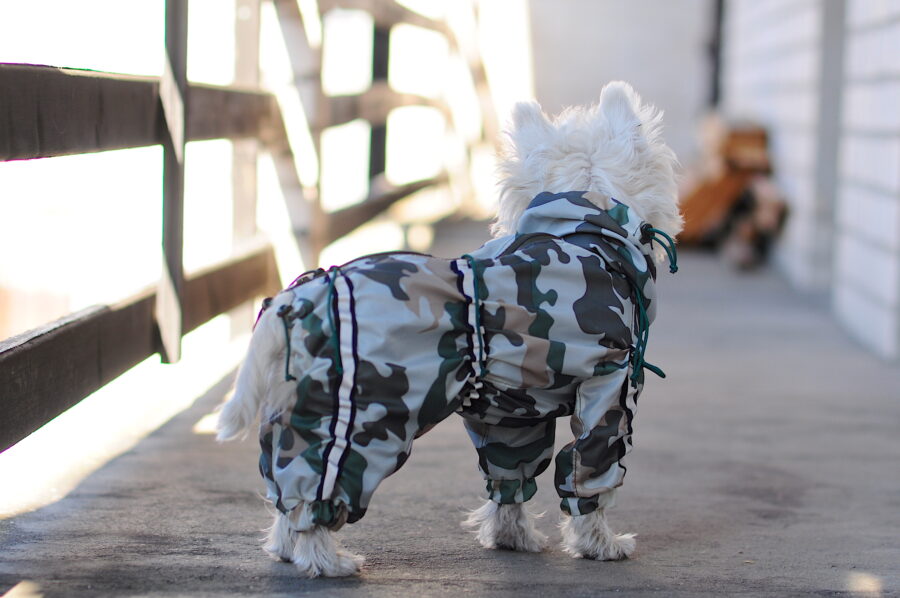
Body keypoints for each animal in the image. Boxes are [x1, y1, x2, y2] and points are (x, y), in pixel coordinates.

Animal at [220, 82, 684, 580]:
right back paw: (327, 560)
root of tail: (308, 291)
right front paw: (601, 544)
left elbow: (509, 477)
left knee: (285, 498)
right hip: (364, 423)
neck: (581, 237)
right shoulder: (610, 391)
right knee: (319, 498)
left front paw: (512, 538)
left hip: (297, 419)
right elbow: (589, 473)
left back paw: (288, 549)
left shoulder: (512, 416)